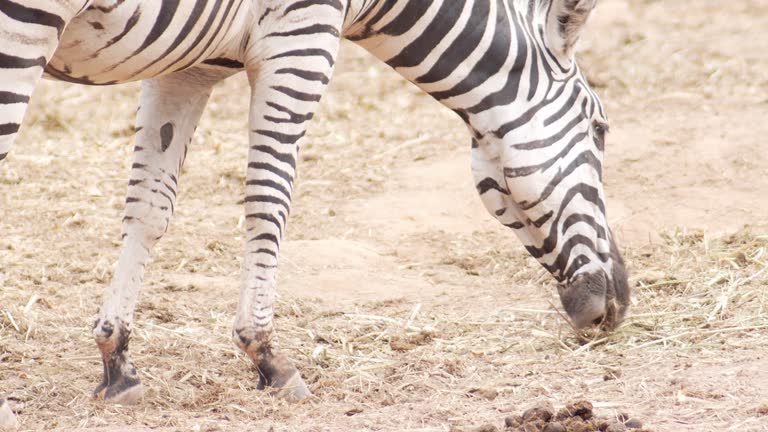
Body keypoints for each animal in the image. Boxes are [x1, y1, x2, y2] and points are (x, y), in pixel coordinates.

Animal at [0, 0, 632, 422]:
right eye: (601, 128)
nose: (618, 308)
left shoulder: (189, 65)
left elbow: (150, 208)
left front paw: (117, 360)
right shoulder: (301, 39)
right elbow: (268, 201)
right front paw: (267, 358)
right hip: (22, 30)